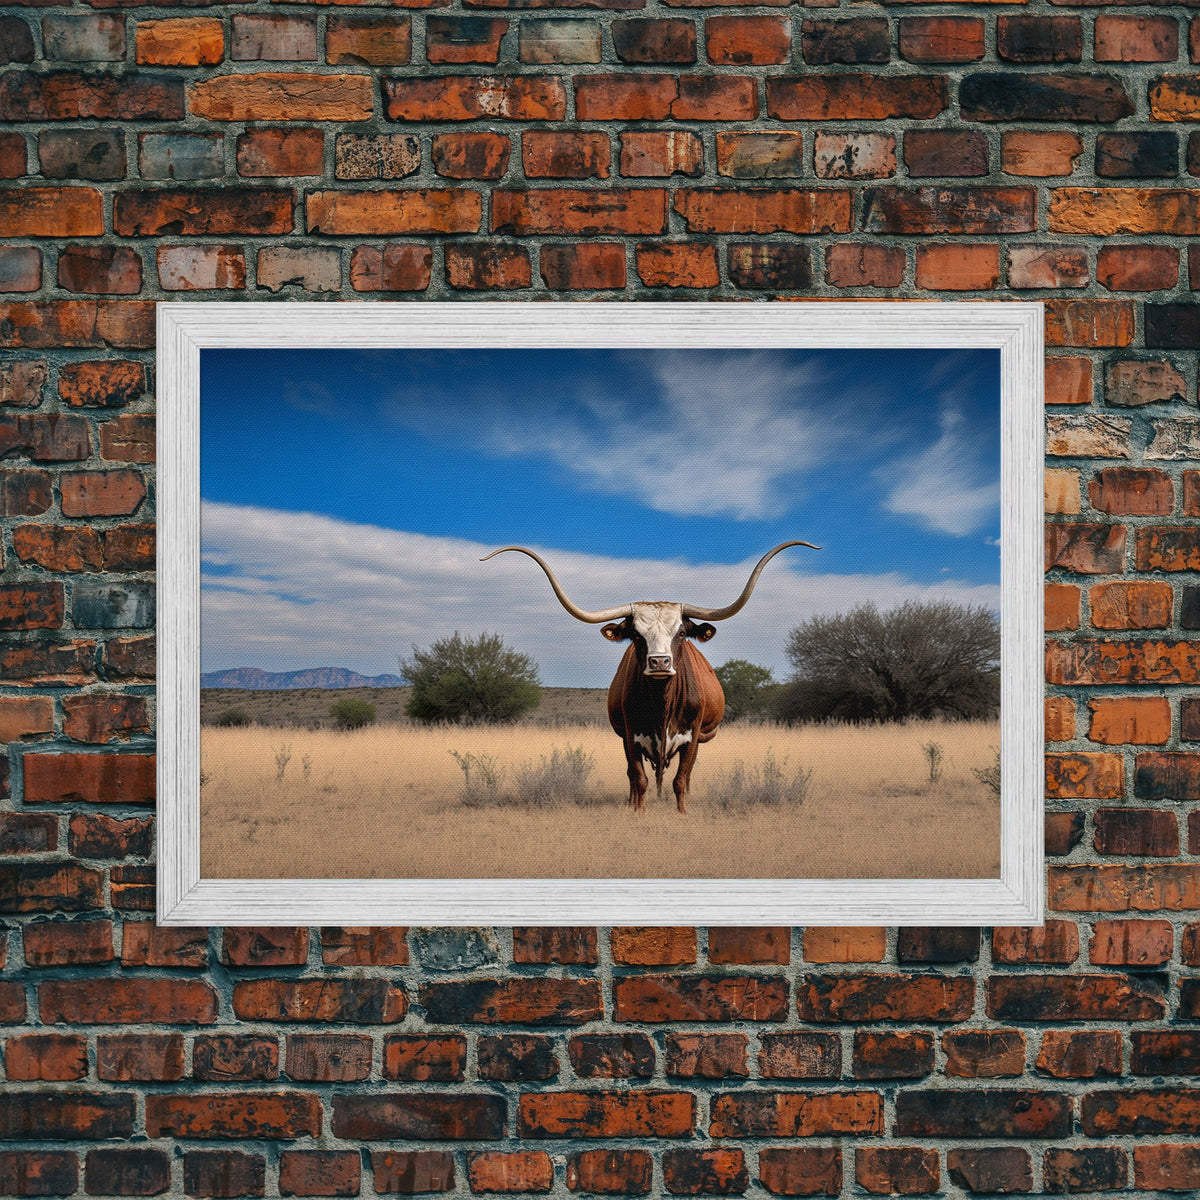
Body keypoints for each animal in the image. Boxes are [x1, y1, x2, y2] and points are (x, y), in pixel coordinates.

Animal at [481, 542, 818, 813]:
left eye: (681, 633)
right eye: (636, 635)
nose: (659, 662)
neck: (662, 704)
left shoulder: (691, 738)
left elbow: (681, 780)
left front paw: (683, 813)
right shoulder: (631, 735)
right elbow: (639, 778)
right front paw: (638, 812)